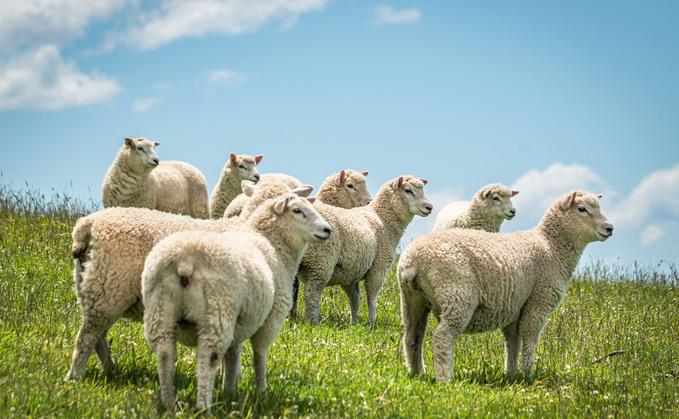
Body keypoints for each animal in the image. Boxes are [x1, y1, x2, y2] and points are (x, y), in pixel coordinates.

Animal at [62, 180, 312, 380]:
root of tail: (86, 225)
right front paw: (232, 376)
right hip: (110, 286)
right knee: (88, 335)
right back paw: (75, 376)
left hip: (93, 286)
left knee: (99, 335)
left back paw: (110, 369)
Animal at [142, 194, 334, 414]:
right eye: (297, 210)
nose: (327, 230)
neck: (273, 243)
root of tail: (185, 262)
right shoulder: (270, 318)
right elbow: (259, 355)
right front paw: (261, 391)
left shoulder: (240, 320)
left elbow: (233, 354)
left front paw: (229, 390)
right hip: (217, 311)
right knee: (207, 356)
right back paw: (203, 407)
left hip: (160, 309)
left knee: (165, 353)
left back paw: (169, 403)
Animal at [296, 176, 432, 326]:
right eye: (408, 190)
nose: (429, 207)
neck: (382, 217)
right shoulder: (379, 266)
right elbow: (371, 297)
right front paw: (372, 323)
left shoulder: (350, 271)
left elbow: (355, 298)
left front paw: (355, 323)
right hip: (321, 261)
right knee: (311, 294)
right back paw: (312, 323)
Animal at [398, 192, 616, 382]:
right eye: (582, 209)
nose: (610, 228)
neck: (551, 247)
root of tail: (412, 261)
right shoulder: (538, 303)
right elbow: (529, 341)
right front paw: (528, 375)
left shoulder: (514, 309)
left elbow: (512, 343)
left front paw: (511, 374)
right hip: (457, 295)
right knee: (442, 337)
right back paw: (445, 378)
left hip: (413, 300)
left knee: (412, 337)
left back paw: (417, 373)